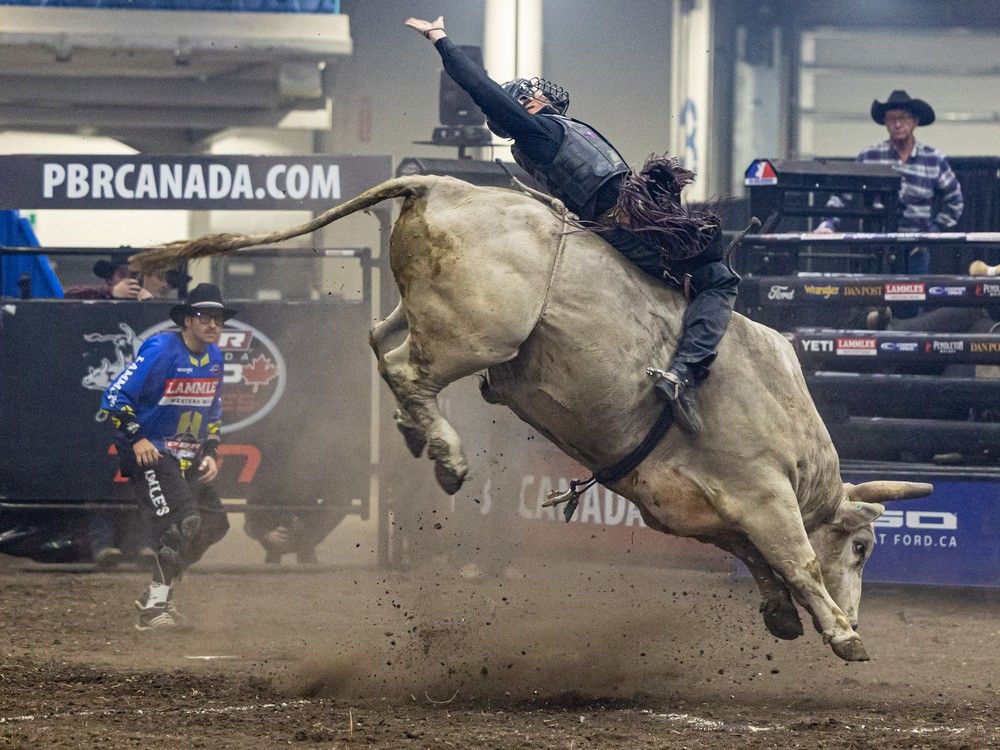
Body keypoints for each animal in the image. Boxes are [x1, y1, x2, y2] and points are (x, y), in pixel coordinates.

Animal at [131, 176, 928, 664]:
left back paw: (421, 436)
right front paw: (843, 633)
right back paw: (449, 457)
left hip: (427, 317)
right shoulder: (763, 493)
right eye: (863, 548)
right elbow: (794, 559)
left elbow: (760, 560)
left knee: (381, 343)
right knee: (408, 369)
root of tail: (440, 185)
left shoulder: (709, 506)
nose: (859, 613)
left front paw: (786, 617)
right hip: (476, 335)